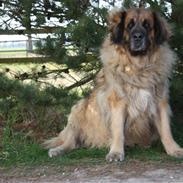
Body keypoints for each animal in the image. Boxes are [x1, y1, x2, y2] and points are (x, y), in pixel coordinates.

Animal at [44, 7, 183, 162]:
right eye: (129, 26)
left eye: (147, 25)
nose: (138, 36)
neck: (138, 66)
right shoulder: (118, 102)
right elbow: (118, 130)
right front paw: (116, 152)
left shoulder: (160, 102)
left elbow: (166, 130)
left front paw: (174, 149)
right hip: (79, 109)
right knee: (71, 141)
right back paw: (58, 150)